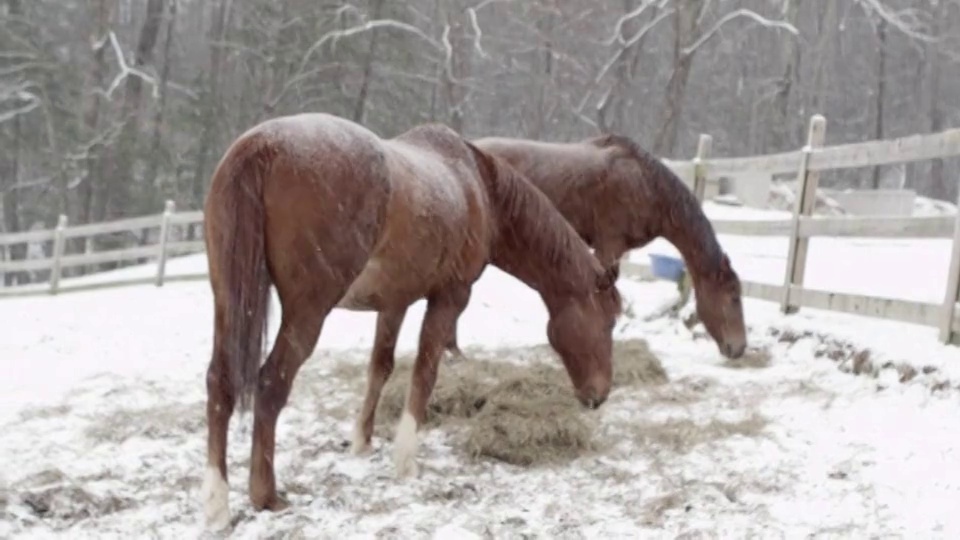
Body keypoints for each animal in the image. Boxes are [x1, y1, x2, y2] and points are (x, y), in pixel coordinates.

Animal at [199, 112, 628, 528]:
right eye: (608, 322)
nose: (599, 395)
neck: (478, 186)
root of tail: (262, 145)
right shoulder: (449, 298)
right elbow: (425, 370)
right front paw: (405, 459)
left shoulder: (394, 304)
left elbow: (380, 368)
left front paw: (362, 441)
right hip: (307, 312)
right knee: (272, 383)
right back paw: (265, 495)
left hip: (228, 302)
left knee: (220, 382)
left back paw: (218, 506)